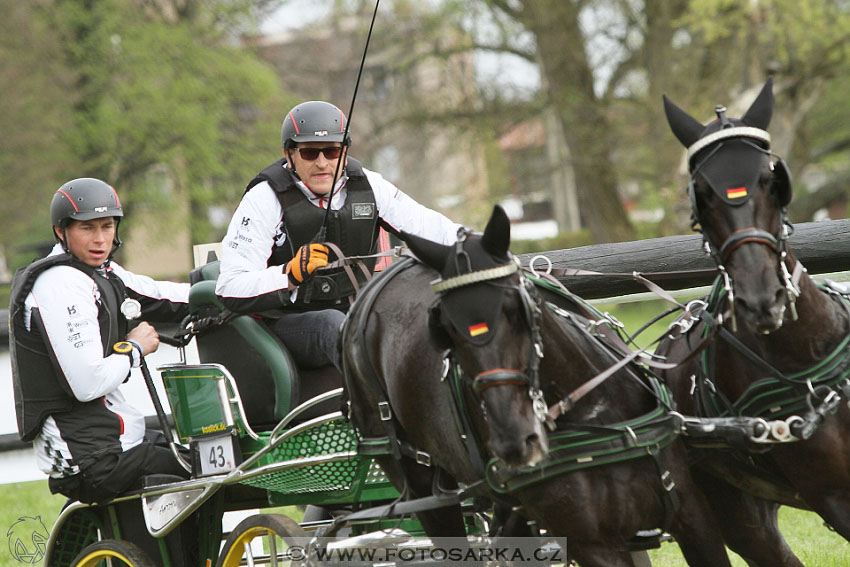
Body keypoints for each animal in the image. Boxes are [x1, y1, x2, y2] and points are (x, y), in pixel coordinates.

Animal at [338, 206, 728, 564]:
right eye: (444, 328)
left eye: (515, 307)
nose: (513, 439)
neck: (599, 419)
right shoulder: (593, 544)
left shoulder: (693, 515)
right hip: (420, 485)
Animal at [660, 77, 848, 564]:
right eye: (701, 193)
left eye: (770, 178)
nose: (762, 298)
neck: (805, 361)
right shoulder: (833, 497)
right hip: (729, 514)